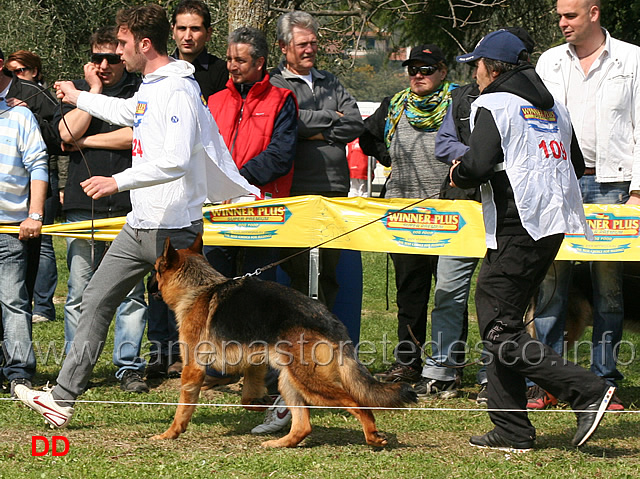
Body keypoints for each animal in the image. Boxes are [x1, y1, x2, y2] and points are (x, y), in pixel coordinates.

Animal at [152, 234, 418, 448]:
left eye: (155, 270)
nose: (149, 286)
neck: (200, 288)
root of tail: (331, 322)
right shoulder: (254, 364)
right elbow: (247, 400)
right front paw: (262, 406)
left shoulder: (192, 369)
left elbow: (183, 409)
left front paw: (170, 434)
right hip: (289, 379)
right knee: (303, 425)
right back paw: (280, 442)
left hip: (308, 381)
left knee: (356, 403)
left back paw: (372, 436)